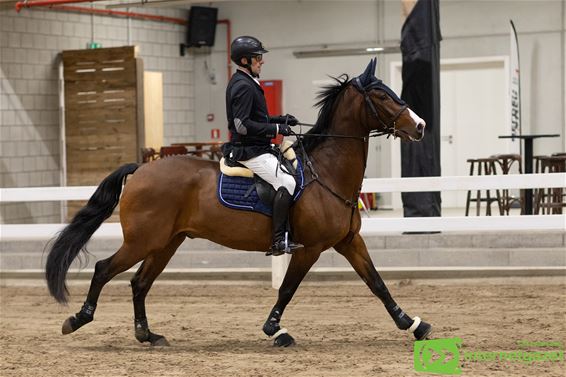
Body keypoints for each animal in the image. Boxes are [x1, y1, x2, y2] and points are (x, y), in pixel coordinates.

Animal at [46, 58, 432, 346]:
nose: (421, 126)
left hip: (166, 242)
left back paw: (148, 335)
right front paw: (275, 330)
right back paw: (77, 319)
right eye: (382, 96)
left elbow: (377, 283)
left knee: (140, 282)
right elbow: (288, 288)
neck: (327, 172)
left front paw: (413, 324)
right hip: (143, 241)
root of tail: (141, 168)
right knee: (104, 270)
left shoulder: (349, 241)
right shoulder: (309, 248)